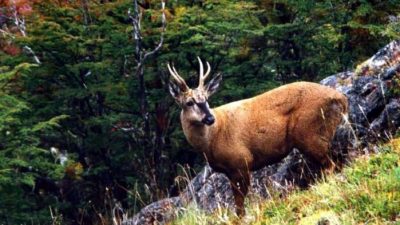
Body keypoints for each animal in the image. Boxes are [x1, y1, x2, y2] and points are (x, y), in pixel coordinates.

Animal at [166, 57, 346, 217]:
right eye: (189, 102)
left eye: (206, 99)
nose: (210, 118)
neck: (212, 139)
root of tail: (342, 99)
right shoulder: (230, 170)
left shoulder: (241, 161)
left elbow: (240, 202)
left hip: (311, 135)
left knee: (330, 165)